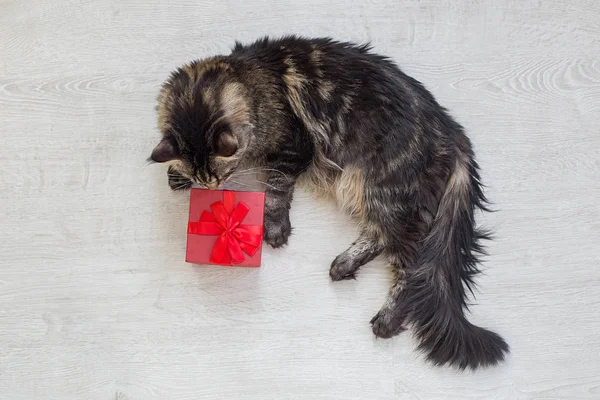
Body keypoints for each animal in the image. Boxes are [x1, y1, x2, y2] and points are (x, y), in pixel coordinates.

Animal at [148, 36, 508, 370]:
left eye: (223, 174)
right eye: (207, 179)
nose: (213, 185)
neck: (251, 82)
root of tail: (452, 132)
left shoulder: (295, 147)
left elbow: (277, 189)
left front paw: (275, 228)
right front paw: (178, 176)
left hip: (383, 189)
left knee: (411, 265)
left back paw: (386, 320)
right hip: (373, 194)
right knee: (380, 236)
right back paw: (344, 265)